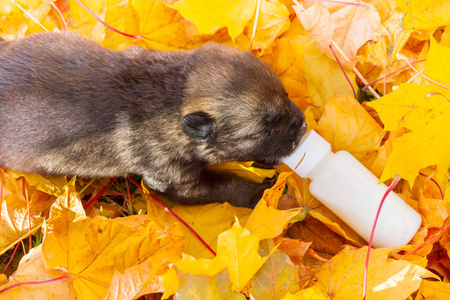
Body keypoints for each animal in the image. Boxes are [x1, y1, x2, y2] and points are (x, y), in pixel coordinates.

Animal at [0, 31, 306, 207]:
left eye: (286, 95)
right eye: (265, 127)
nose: (303, 125)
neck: (175, 96)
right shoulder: (176, 182)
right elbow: (227, 184)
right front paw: (260, 192)